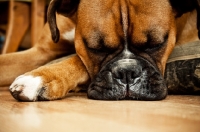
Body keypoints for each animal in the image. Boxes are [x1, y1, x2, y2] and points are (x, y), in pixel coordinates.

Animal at [0, 0, 199, 101]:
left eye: (156, 44)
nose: (127, 72)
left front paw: (40, 77)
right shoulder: (40, 52)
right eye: (96, 48)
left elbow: (76, 59)